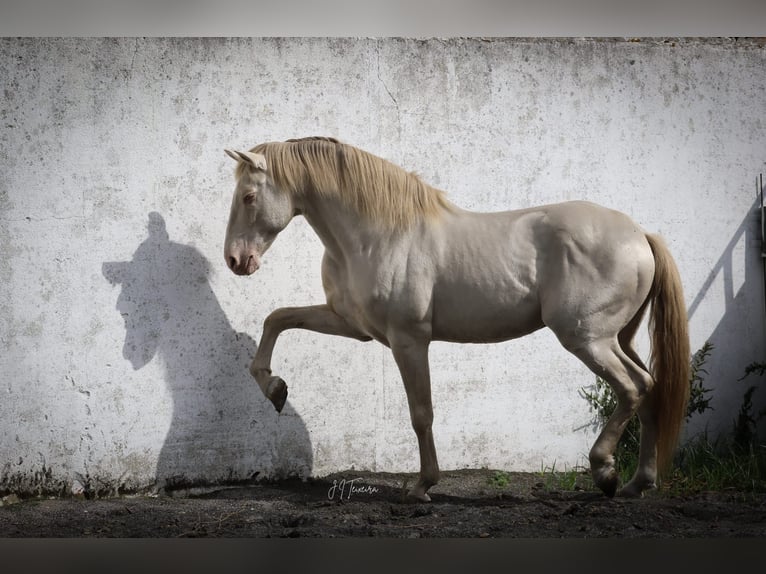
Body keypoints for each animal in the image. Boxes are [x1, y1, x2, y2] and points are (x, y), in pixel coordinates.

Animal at [220, 137, 688, 502]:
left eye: (248, 196)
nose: (236, 260)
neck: (378, 236)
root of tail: (640, 235)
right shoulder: (352, 325)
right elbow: (276, 319)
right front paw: (275, 389)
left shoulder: (409, 341)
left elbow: (420, 412)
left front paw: (422, 486)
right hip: (617, 338)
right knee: (650, 388)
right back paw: (637, 484)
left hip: (588, 339)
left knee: (633, 387)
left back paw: (604, 472)